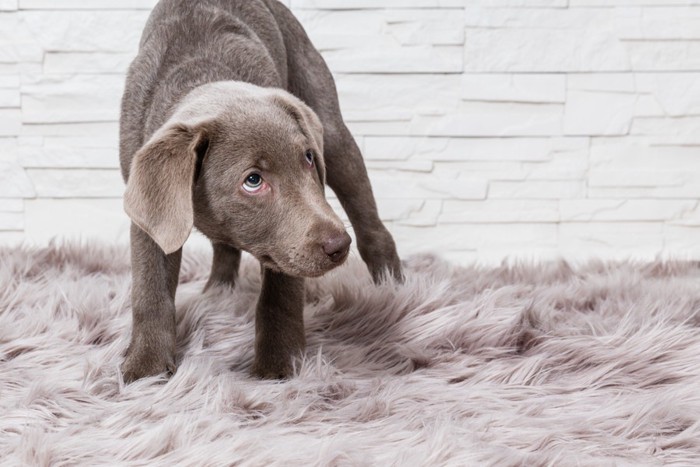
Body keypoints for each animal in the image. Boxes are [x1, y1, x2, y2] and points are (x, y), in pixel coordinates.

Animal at [120, 0, 402, 384]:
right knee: (224, 248)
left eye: (308, 158)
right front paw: (145, 370)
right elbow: (150, 286)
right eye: (253, 180)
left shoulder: (288, 240)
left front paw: (277, 366)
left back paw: (393, 289)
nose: (338, 246)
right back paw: (218, 294)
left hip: (328, 120)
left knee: (369, 219)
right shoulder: (153, 209)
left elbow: (280, 293)